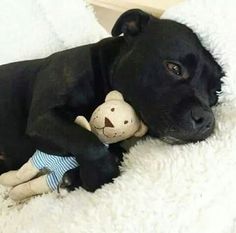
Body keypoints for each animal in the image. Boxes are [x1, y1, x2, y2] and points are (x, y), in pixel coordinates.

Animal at [0, 9, 222, 191]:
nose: (206, 119)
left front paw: (74, 177)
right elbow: (89, 141)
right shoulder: (43, 117)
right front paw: (99, 176)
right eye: (174, 68)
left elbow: (114, 151)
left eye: (214, 93)